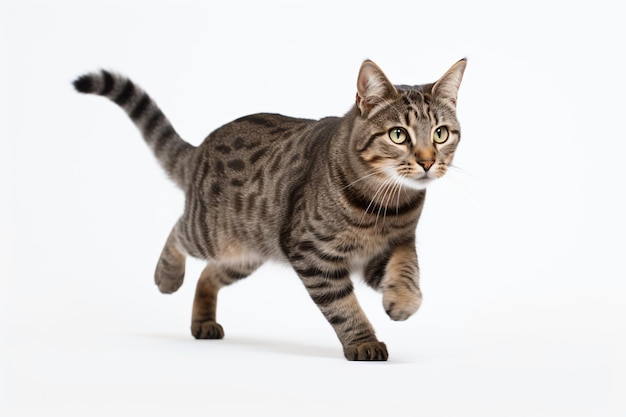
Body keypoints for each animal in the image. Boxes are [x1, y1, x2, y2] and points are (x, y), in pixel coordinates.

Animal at [72, 57, 464, 360]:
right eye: (399, 135)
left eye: (441, 133)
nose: (427, 162)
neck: (386, 205)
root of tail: (200, 149)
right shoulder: (311, 253)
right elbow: (343, 306)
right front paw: (363, 340)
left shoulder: (389, 248)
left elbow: (408, 269)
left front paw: (403, 301)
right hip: (210, 234)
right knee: (177, 231)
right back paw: (167, 277)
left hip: (244, 255)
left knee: (207, 276)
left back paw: (203, 322)